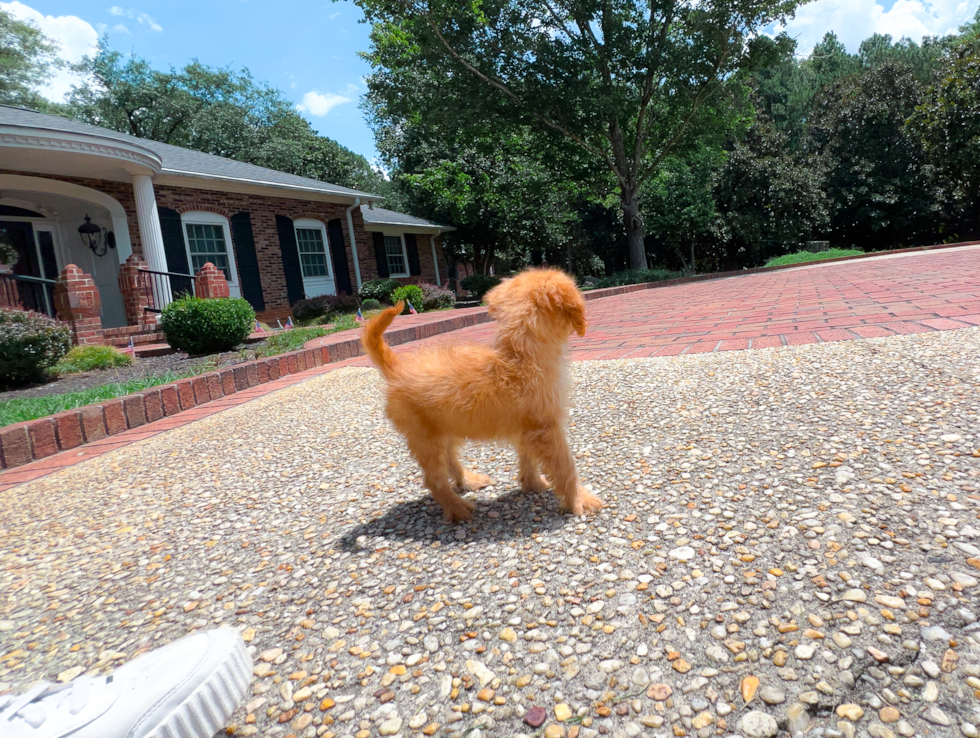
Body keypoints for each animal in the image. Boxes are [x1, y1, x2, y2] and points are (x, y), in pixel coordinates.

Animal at [362, 268, 604, 520]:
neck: (520, 354)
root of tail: (396, 367)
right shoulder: (547, 429)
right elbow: (566, 466)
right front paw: (580, 500)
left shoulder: (527, 428)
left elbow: (527, 457)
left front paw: (532, 484)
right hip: (425, 437)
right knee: (434, 479)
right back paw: (457, 508)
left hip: (444, 430)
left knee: (450, 461)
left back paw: (469, 481)